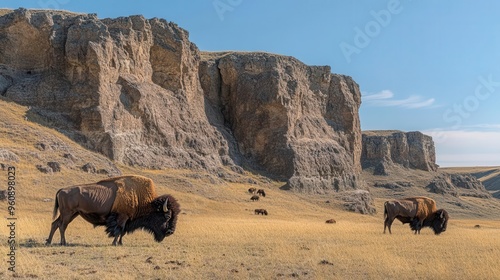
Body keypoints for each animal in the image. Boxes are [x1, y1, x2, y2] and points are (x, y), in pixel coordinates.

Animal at [45, 175, 180, 245]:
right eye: (167, 216)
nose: (170, 232)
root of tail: (62, 189)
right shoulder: (122, 217)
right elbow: (118, 230)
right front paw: (115, 243)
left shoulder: (127, 219)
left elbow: (122, 231)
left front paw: (120, 243)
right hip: (68, 214)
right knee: (62, 226)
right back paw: (63, 243)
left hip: (72, 214)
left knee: (55, 224)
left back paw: (49, 241)